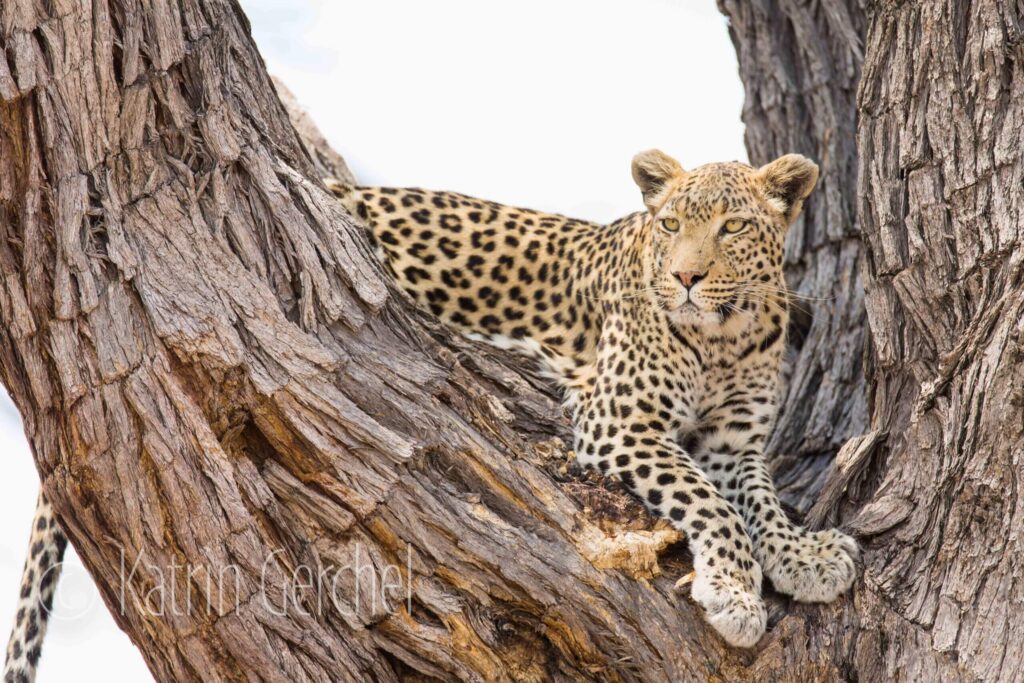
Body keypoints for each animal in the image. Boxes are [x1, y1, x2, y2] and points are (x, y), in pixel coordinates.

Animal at [325, 149, 858, 647]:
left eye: (733, 226)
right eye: (671, 224)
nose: (686, 279)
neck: (722, 338)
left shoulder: (732, 443)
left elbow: (762, 500)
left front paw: (802, 556)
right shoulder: (621, 421)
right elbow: (711, 503)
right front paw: (735, 593)